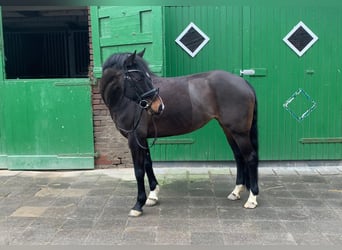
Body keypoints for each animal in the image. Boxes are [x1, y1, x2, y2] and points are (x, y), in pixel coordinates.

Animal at [100, 49, 258, 217]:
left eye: (147, 76)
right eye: (138, 77)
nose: (159, 106)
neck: (124, 101)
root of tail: (243, 82)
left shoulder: (135, 139)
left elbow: (138, 171)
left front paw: (138, 205)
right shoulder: (142, 139)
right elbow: (148, 164)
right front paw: (153, 196)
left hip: (239, 132)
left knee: (250, 157)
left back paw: (252, 199)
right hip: (228, 129)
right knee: (239, 156)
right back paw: (236, 192)